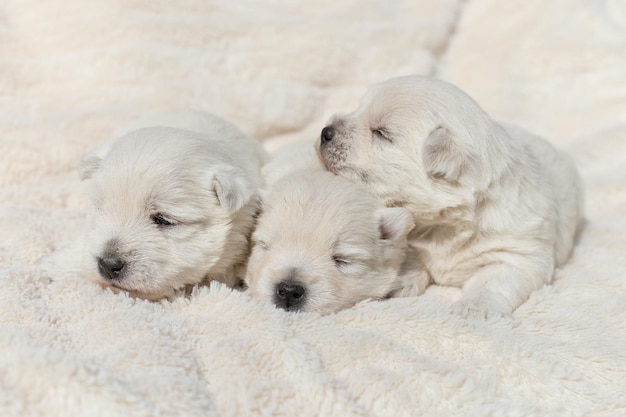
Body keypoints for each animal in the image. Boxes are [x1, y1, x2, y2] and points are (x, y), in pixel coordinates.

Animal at [314, 75, 584, 316]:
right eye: (358, 108)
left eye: (381, 133)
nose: (325, 132)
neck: (444, 226)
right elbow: (409, 259)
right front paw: (396, 282)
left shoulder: (519, 255)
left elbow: (494, 281)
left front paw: (475, 309)